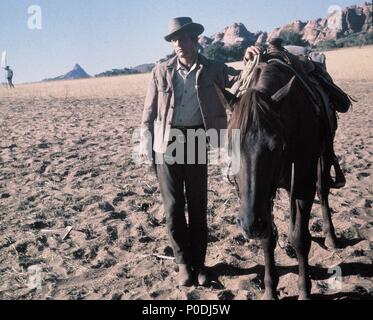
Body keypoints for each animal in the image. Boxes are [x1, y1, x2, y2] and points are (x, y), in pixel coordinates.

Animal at [225, 43, 342, 300]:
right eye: (230, 146)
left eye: (276, 146)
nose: (249, 225)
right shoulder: (262, 199)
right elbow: (268, 239)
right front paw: (270, 290)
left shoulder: (302, 184)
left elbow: (301, 239)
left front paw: (304, 290)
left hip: (321, 157)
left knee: (323, 190)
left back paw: (330, 236)